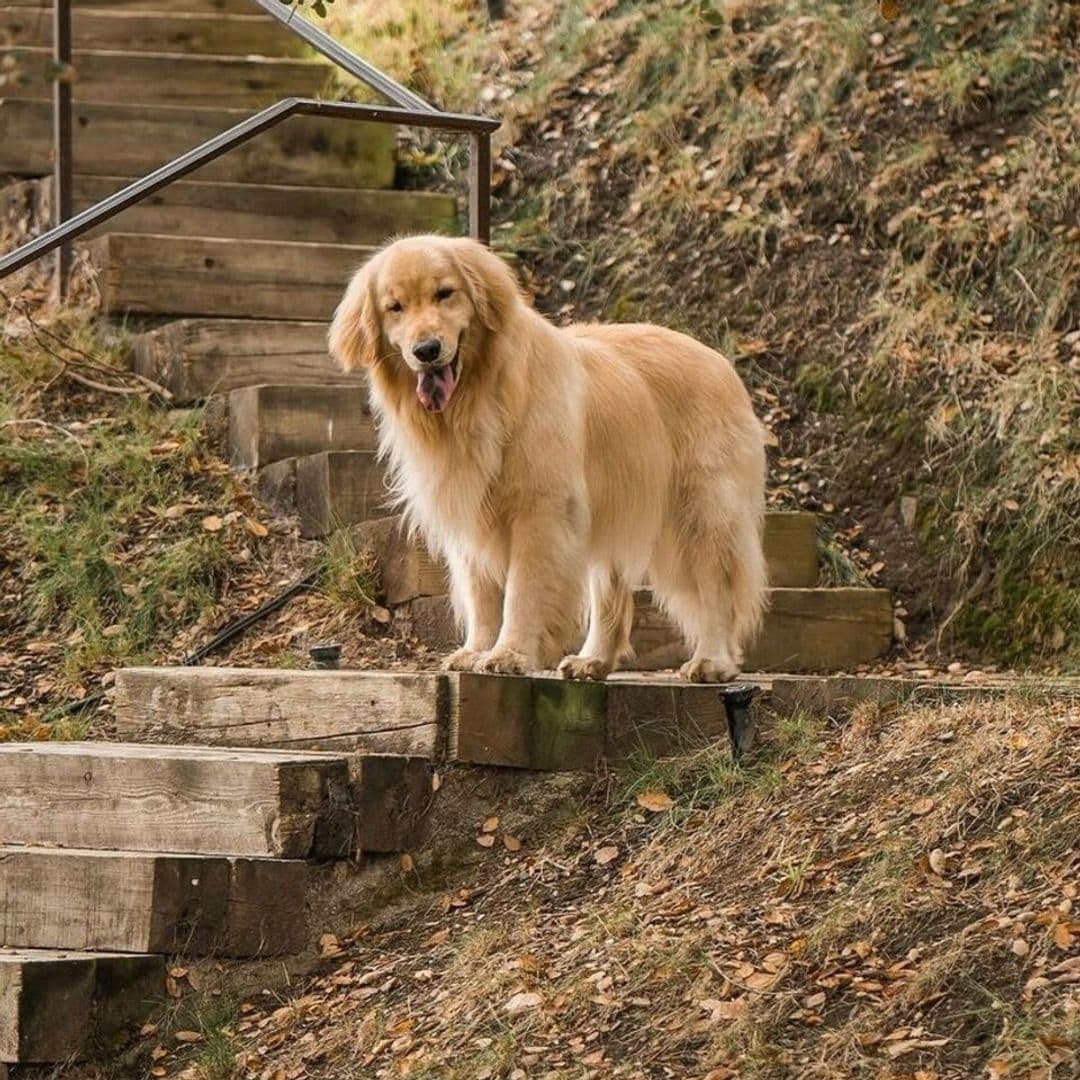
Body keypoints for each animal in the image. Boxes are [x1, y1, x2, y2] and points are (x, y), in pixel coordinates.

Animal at [328, 236, 768, 678]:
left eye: (445, 293)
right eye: (395, 307)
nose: (427, 350)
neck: (479, 397)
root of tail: (720, 360)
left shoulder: (540, 510)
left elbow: (522, 590)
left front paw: (511, 652)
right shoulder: (470, 508)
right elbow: (481, 592)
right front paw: (476, 649)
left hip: (701, 513)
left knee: (716, 587)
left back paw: (712, 660)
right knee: (609, 588)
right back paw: (593, 659)